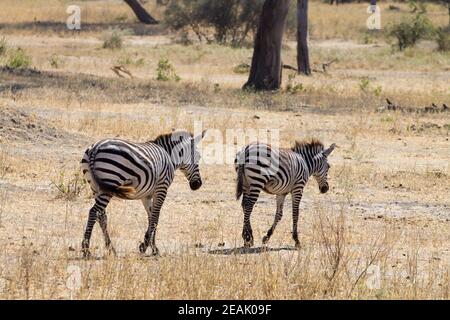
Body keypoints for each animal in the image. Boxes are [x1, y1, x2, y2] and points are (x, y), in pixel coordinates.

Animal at [80, 130, 207, 258]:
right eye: (198, 156)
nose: (197, 184)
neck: (169, 155)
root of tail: (95, 148)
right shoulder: (162, 188)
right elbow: (156, 217)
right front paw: (149, 247)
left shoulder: (146, 195)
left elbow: (151, 216)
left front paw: (149, 245)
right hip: (110, 180)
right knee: (93, 212)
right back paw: (86, 249)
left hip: (96, 187)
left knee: (101, 215)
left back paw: (111, 249)